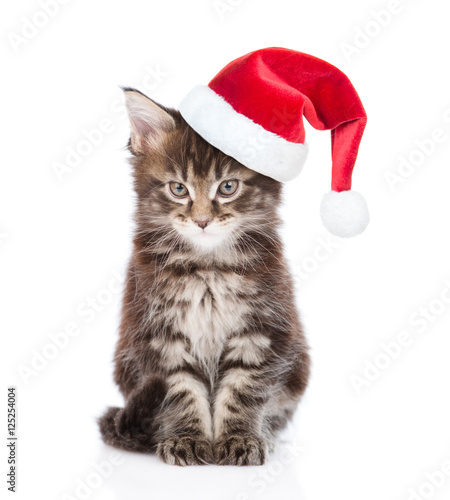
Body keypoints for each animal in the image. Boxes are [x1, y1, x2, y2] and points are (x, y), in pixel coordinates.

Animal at [98, 88, 310, 466]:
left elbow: (242, 389)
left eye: (227, 187)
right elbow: (181, 393)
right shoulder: (159, 335)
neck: (207, 269)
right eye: (178, 189)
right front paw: (187, 438)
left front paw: (240, 438)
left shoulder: (262, 330)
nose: (201, 221)